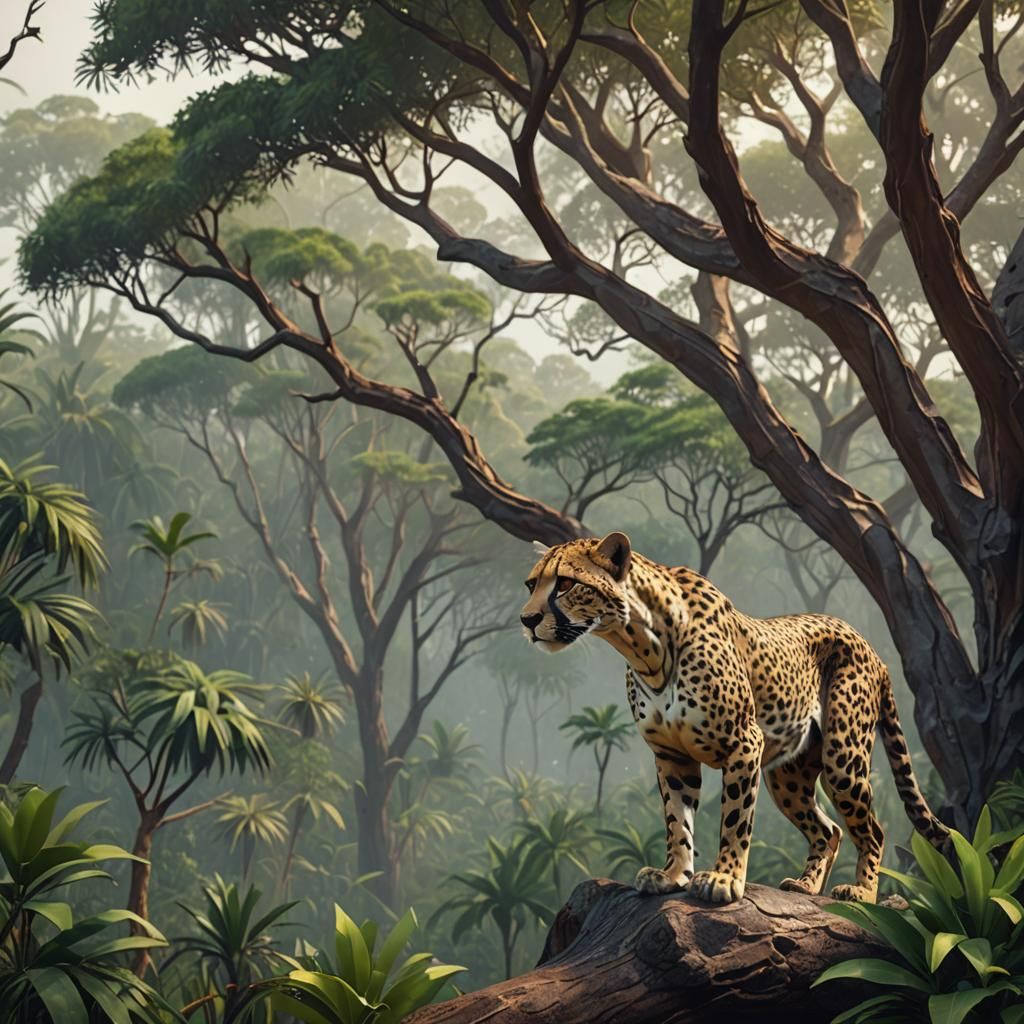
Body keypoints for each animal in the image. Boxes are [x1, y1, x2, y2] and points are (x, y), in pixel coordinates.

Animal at [520, 531, 949, 905]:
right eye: (531, 585)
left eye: (565, 584)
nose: (527, 620)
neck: (643, 647)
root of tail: (869, 645)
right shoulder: (671, 755)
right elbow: (676, 821)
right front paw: (673, 875)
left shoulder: (745, 744)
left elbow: (735, 819)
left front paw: (724, 879)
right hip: (788, 775)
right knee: (828, 830)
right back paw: (807, 886)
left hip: (842, 758)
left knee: (873, 829)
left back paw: (862, 893)